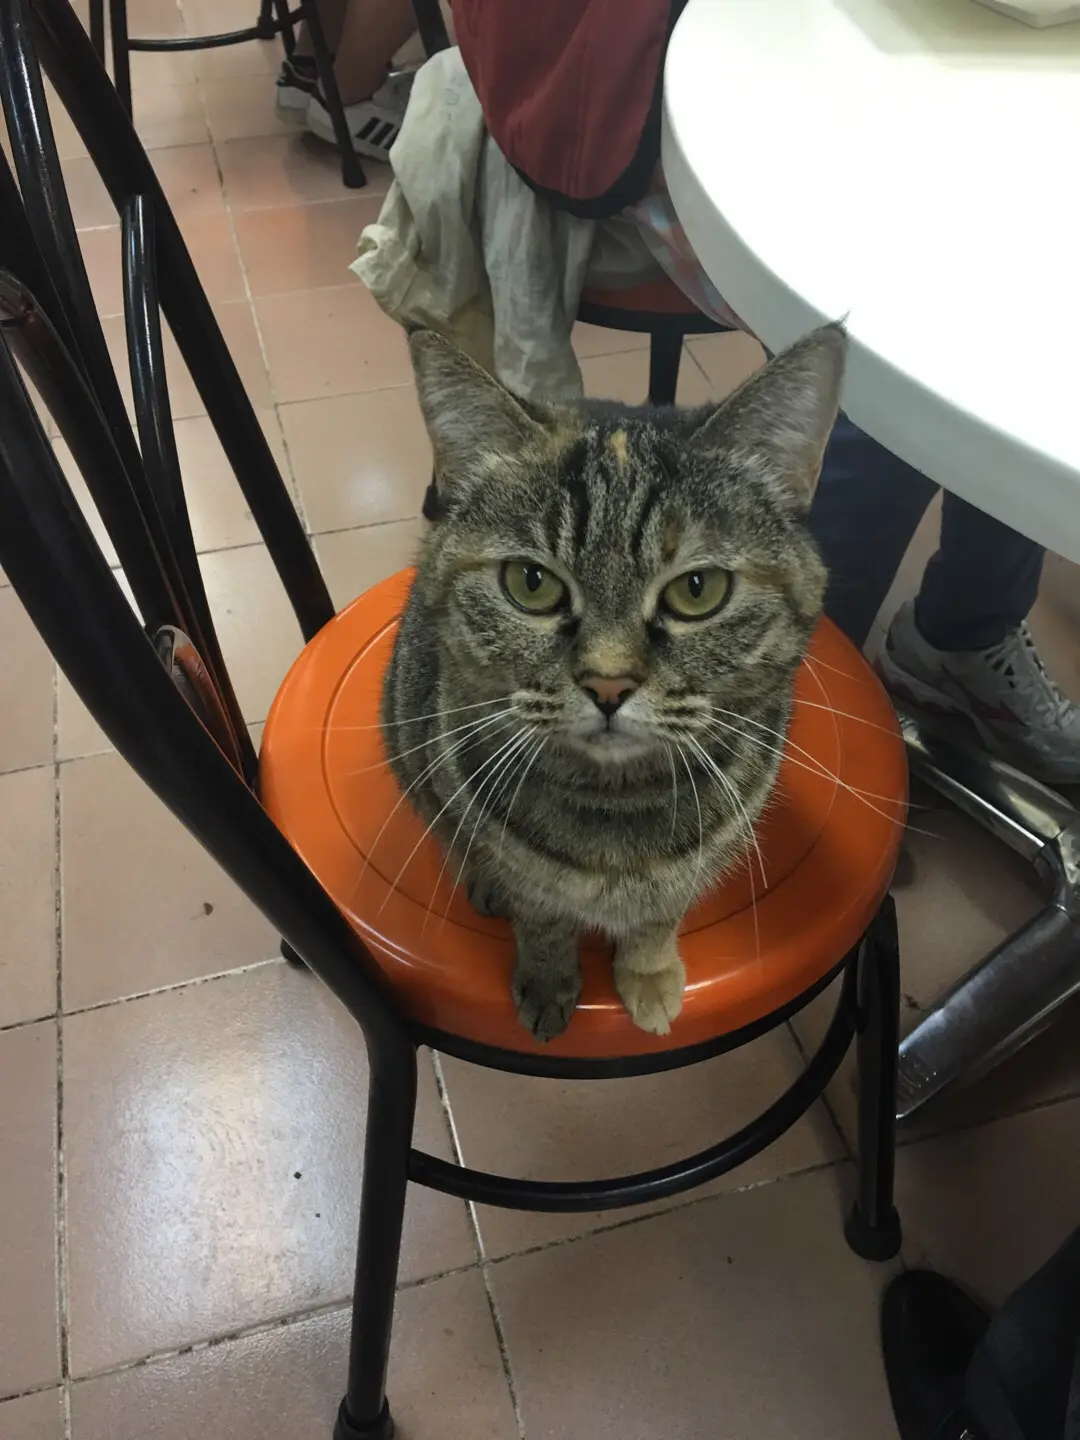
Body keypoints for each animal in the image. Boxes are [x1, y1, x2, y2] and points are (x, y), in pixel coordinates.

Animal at [382, 325, 846, 1041]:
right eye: (531, 583)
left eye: (696, 590)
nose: (607, 684)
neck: (615, 807)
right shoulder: (512, 859)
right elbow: (540, 918)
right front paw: (547, 981)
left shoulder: (695, 864)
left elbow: (659, 917)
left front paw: (649, 977)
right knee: (445, 827)